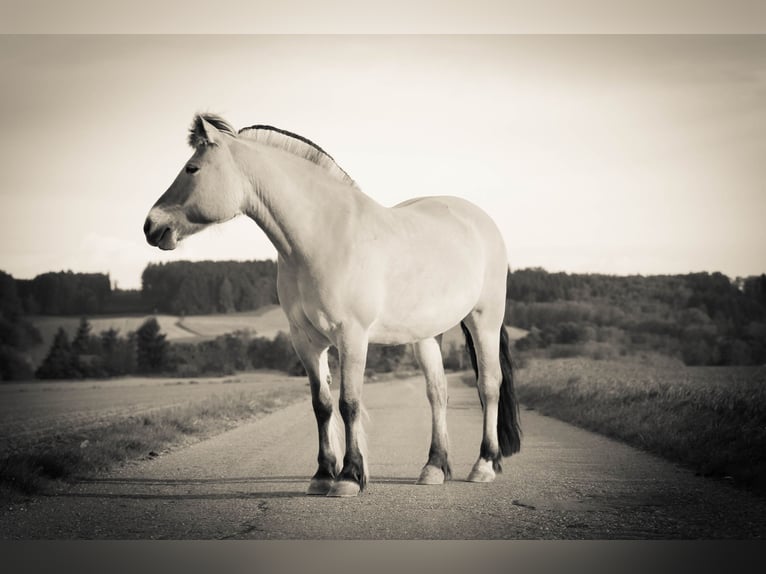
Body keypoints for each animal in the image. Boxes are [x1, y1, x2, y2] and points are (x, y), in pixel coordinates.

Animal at [144, 113, 520, 500]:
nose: (151, 226)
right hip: (428, 335)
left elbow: (349, 403)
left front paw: (350, 477)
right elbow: (322, 405)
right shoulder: (306, 340)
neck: (322, 237)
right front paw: (324, 474)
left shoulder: (352, 336)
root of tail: (478, 219)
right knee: (438, 393)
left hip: (484, 322)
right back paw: (434, 467)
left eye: (192, 168)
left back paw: (484, 464)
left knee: (489, 384)